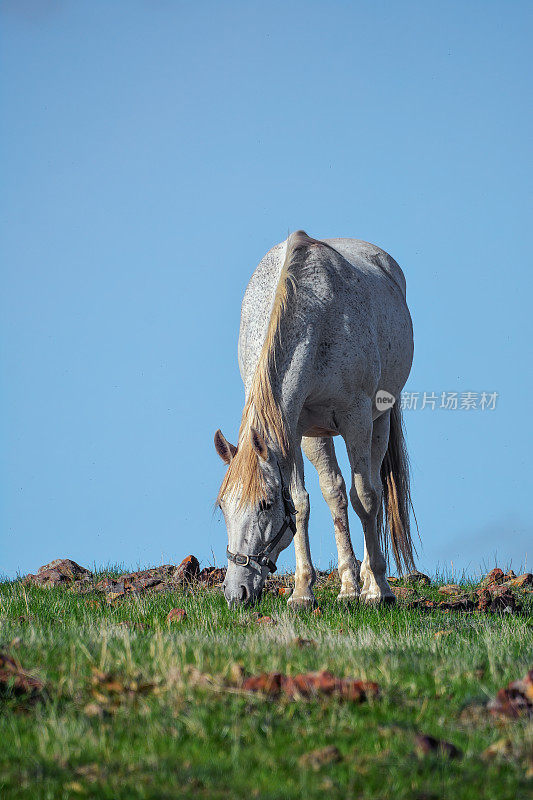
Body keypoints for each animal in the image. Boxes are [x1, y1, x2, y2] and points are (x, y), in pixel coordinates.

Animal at [214, 231, 414, 608]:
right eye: (222, 507)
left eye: (265, 504)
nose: (236, 593)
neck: (316, 319)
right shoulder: (292, 430)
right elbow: (301, 503)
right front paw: (303, 592)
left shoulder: (357, 418)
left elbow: (365, 497)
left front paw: (378, 589)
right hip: (316, 435)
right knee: (334, 493)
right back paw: (348, 585)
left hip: (378, 422)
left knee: (372, 493)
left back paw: (369, 581)